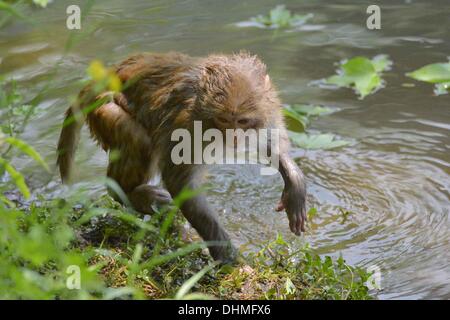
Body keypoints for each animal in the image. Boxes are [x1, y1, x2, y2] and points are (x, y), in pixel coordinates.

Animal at [57, 52, 306, 262]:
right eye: (224, 120)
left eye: (242, 121)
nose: (233, 136)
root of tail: (107, 75)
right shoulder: (186, 125)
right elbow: (182, 185)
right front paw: (227, 256)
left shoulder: (269, 109)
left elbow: (271, 145)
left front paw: (294, 183)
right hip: (104, 108)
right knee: (140, 141)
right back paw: (128, 193)